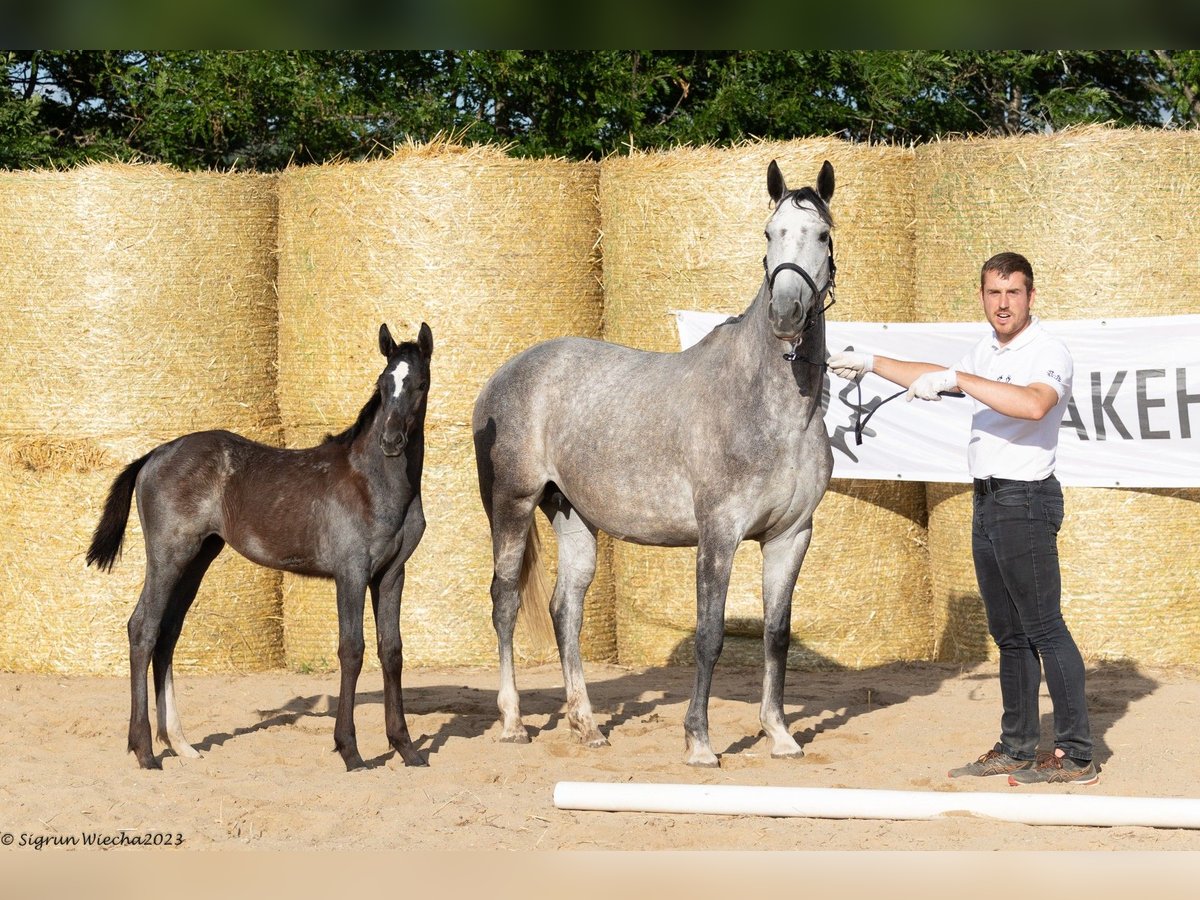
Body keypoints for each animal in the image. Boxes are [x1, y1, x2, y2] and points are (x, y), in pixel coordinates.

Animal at [90, 321, 436, 772]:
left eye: (420, 384)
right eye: (382, 383)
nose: (391, 441)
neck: (375, 483)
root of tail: (154, 454)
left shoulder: (391, 574)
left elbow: (391, 650)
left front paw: (407, 748)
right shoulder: (351, 572)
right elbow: (352, 650)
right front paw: (351, 750)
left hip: (197, 558)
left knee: (167, 634)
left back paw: (180, 744)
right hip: (168, 556)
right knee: (143, 628)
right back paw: (146, 751)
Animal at [470, 162, 835, 768]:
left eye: (823, 236)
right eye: (769, 233)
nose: (786, 313)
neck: (772, 407)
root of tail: (504, 375)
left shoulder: (791, 535)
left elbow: (776, 634)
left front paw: (780, 735)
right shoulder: (719, 533)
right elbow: (709, 635)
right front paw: (699, 742)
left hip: (571, 514)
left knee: (565, 609)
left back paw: (587, 725)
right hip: (511, 505)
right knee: (505, 602)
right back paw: (513, 722)